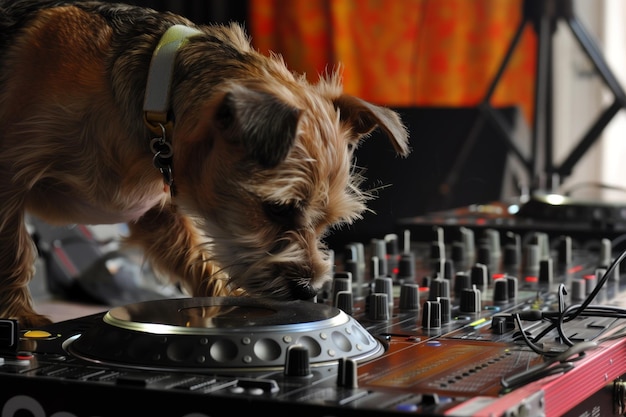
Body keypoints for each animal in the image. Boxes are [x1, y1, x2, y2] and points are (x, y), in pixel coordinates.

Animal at [0, 0, 410, 326]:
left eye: (328, 222)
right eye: (277, 209)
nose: (309, 290)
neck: (155, 100)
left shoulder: (156, 214)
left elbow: (198, 257)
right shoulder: (9, 178)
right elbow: (14, 248)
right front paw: (20, 316)